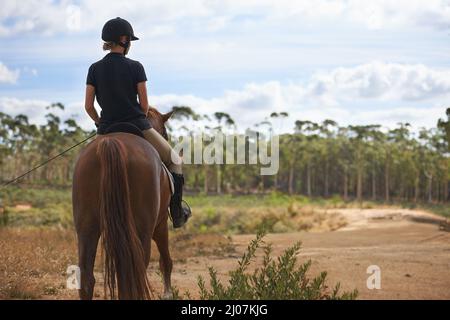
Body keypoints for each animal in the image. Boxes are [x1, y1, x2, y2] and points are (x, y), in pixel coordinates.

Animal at [73, 108, 173, 300]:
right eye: (165, 134)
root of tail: (111, 143)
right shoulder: (161, 223)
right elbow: (166, 262)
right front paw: (168, 293)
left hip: (86, 227)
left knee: (87, 278)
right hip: (141, 231)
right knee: (133, 275)